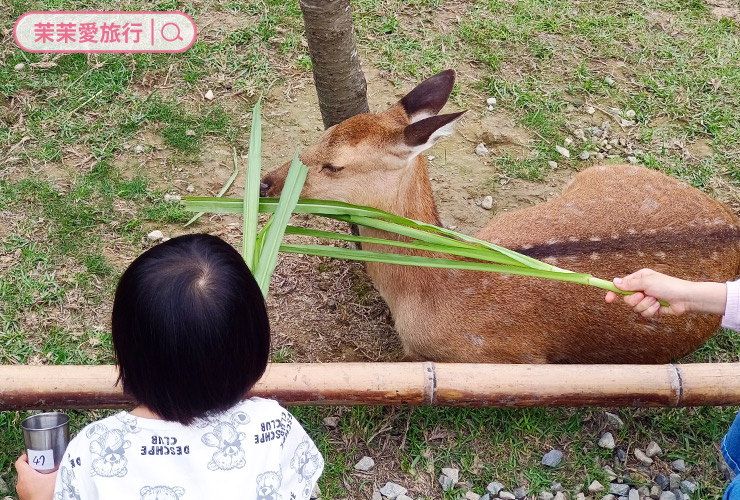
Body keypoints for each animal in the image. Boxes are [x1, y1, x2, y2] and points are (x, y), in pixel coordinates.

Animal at [260, 69, 740, 364]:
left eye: (334, 166)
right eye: (321, 132)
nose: (265, 183)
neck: (428, 290)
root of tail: (732, 222)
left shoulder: (507, 358)